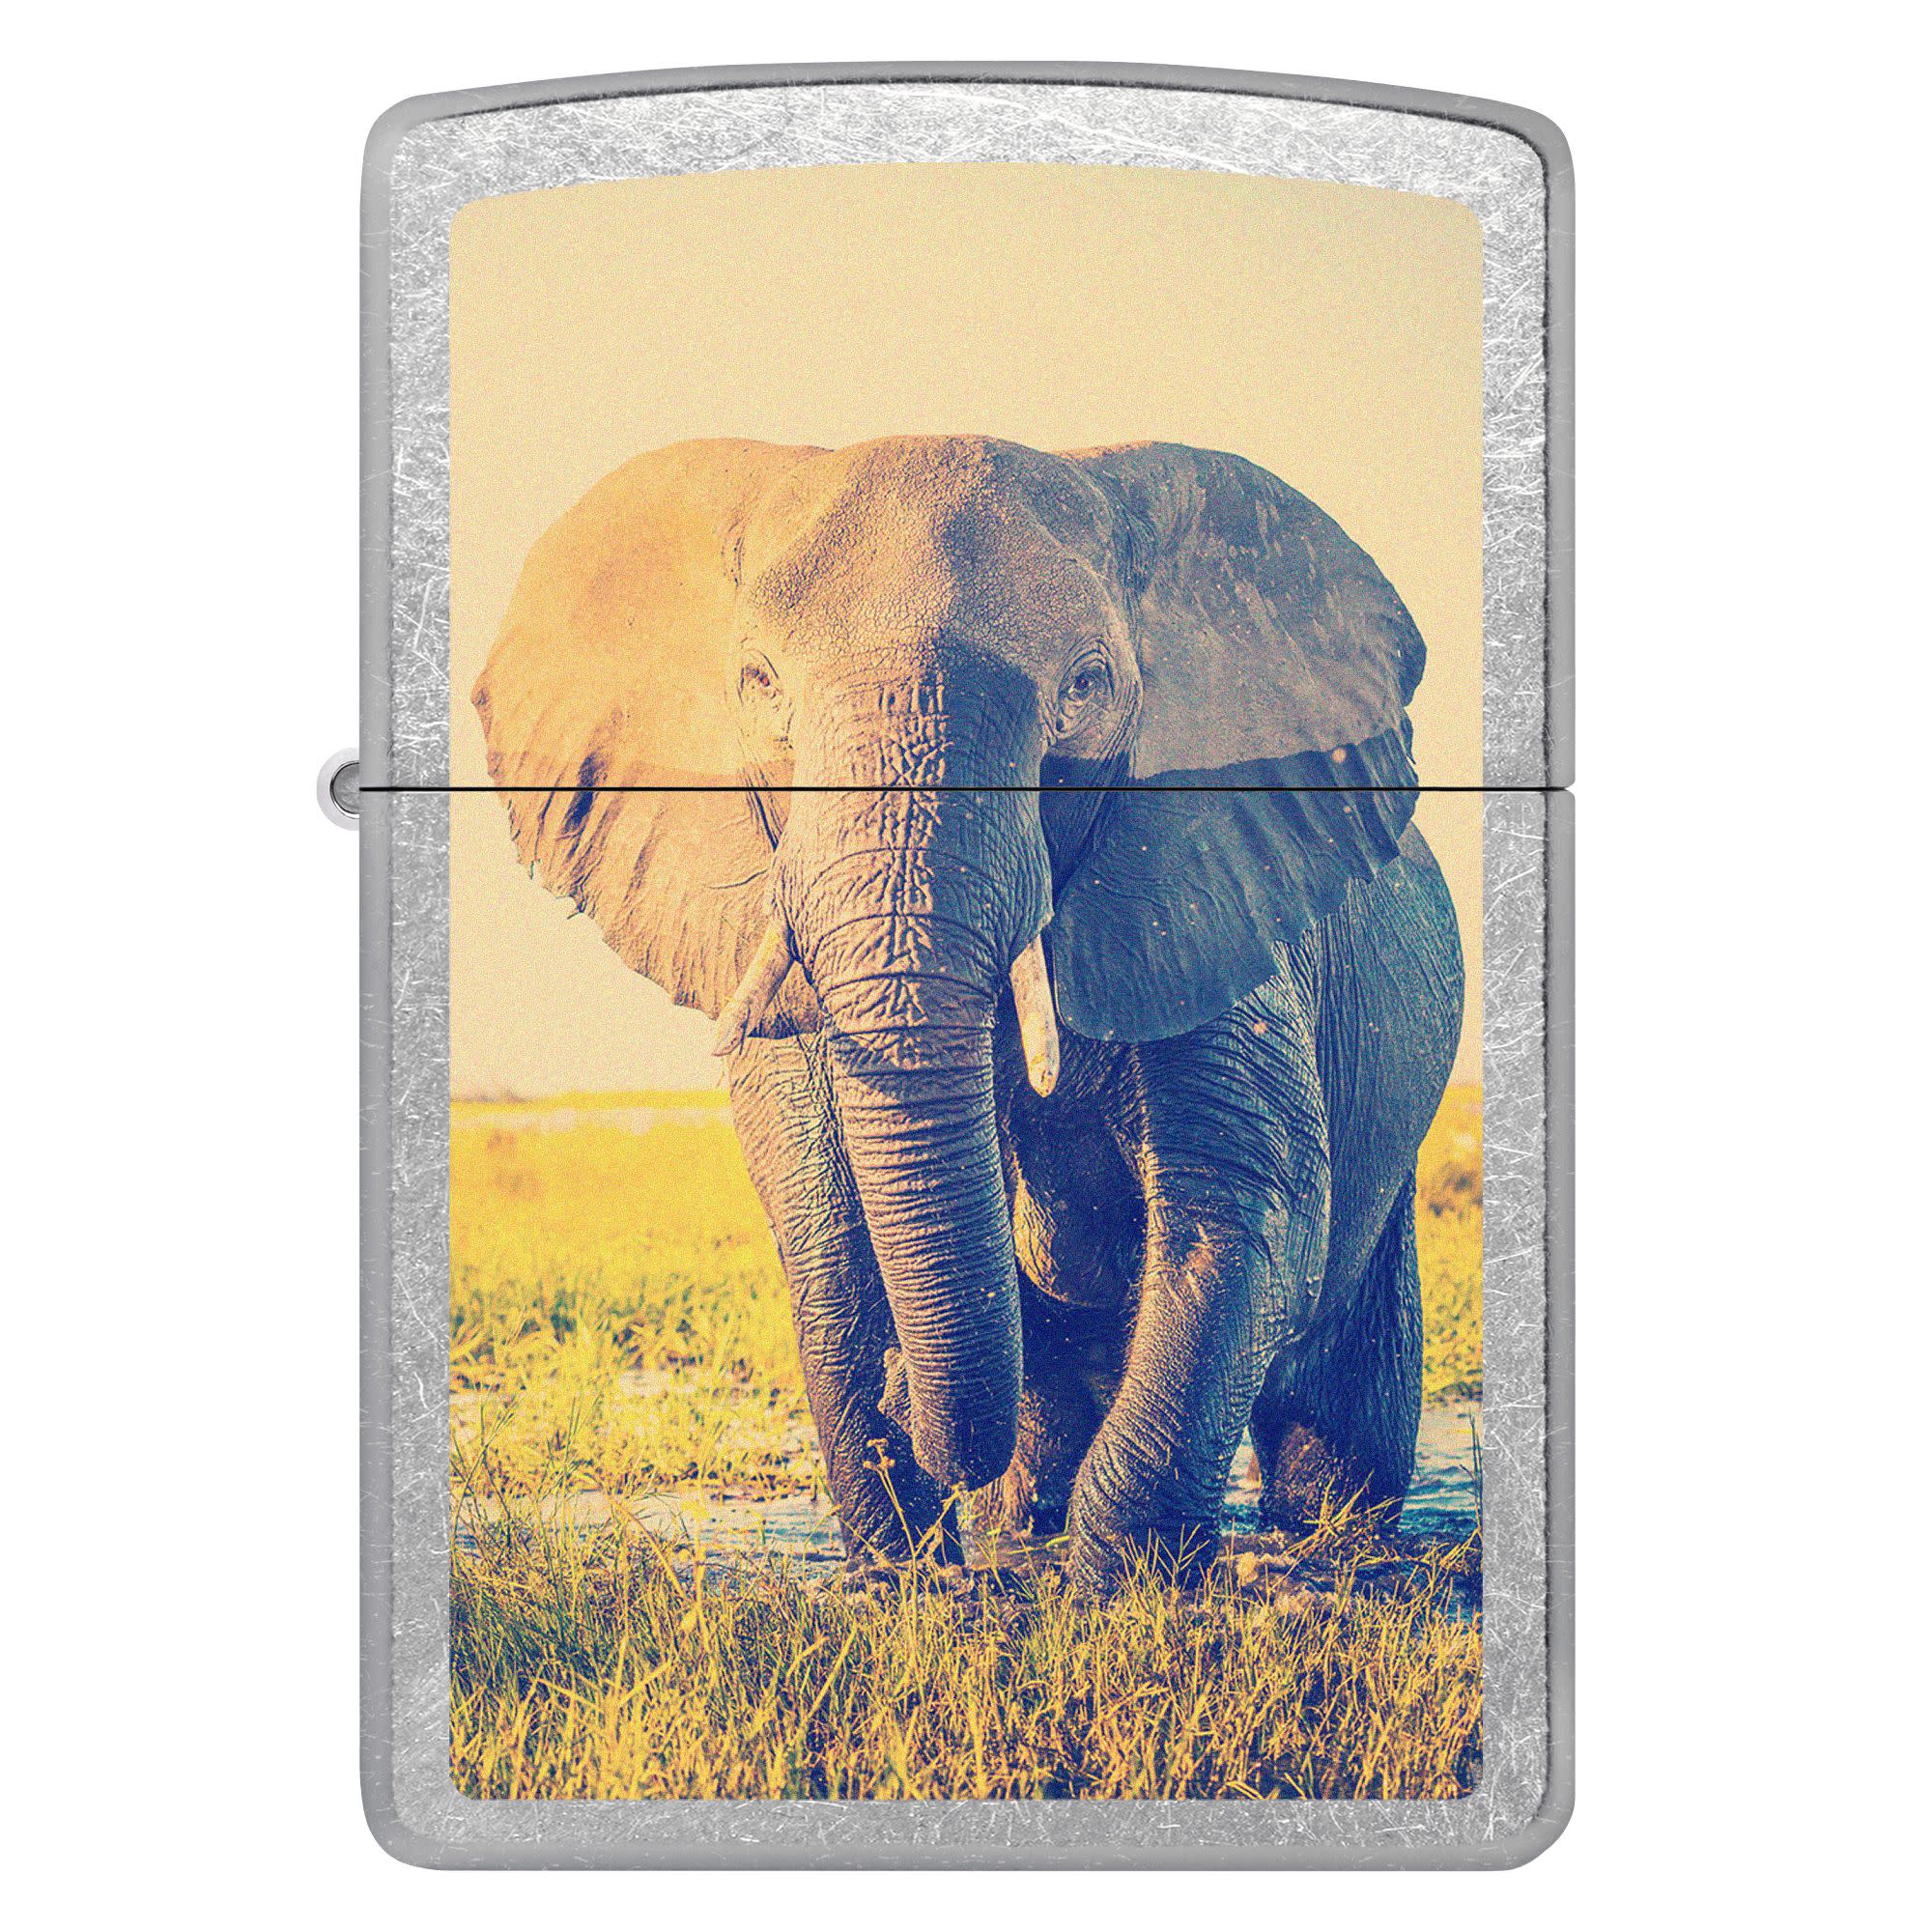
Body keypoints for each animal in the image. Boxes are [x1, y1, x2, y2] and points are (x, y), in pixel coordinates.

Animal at [474, 434, 1463, 1588]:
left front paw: (1116, 1592)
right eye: (758, 683)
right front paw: (911, 1585)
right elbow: (825, 1224)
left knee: (1332, 1395)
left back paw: (1328, 1545)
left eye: (1088, 684)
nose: (911, 1400)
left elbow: (1241, 1205)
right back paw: (1015, 1525)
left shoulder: (1204, 885)